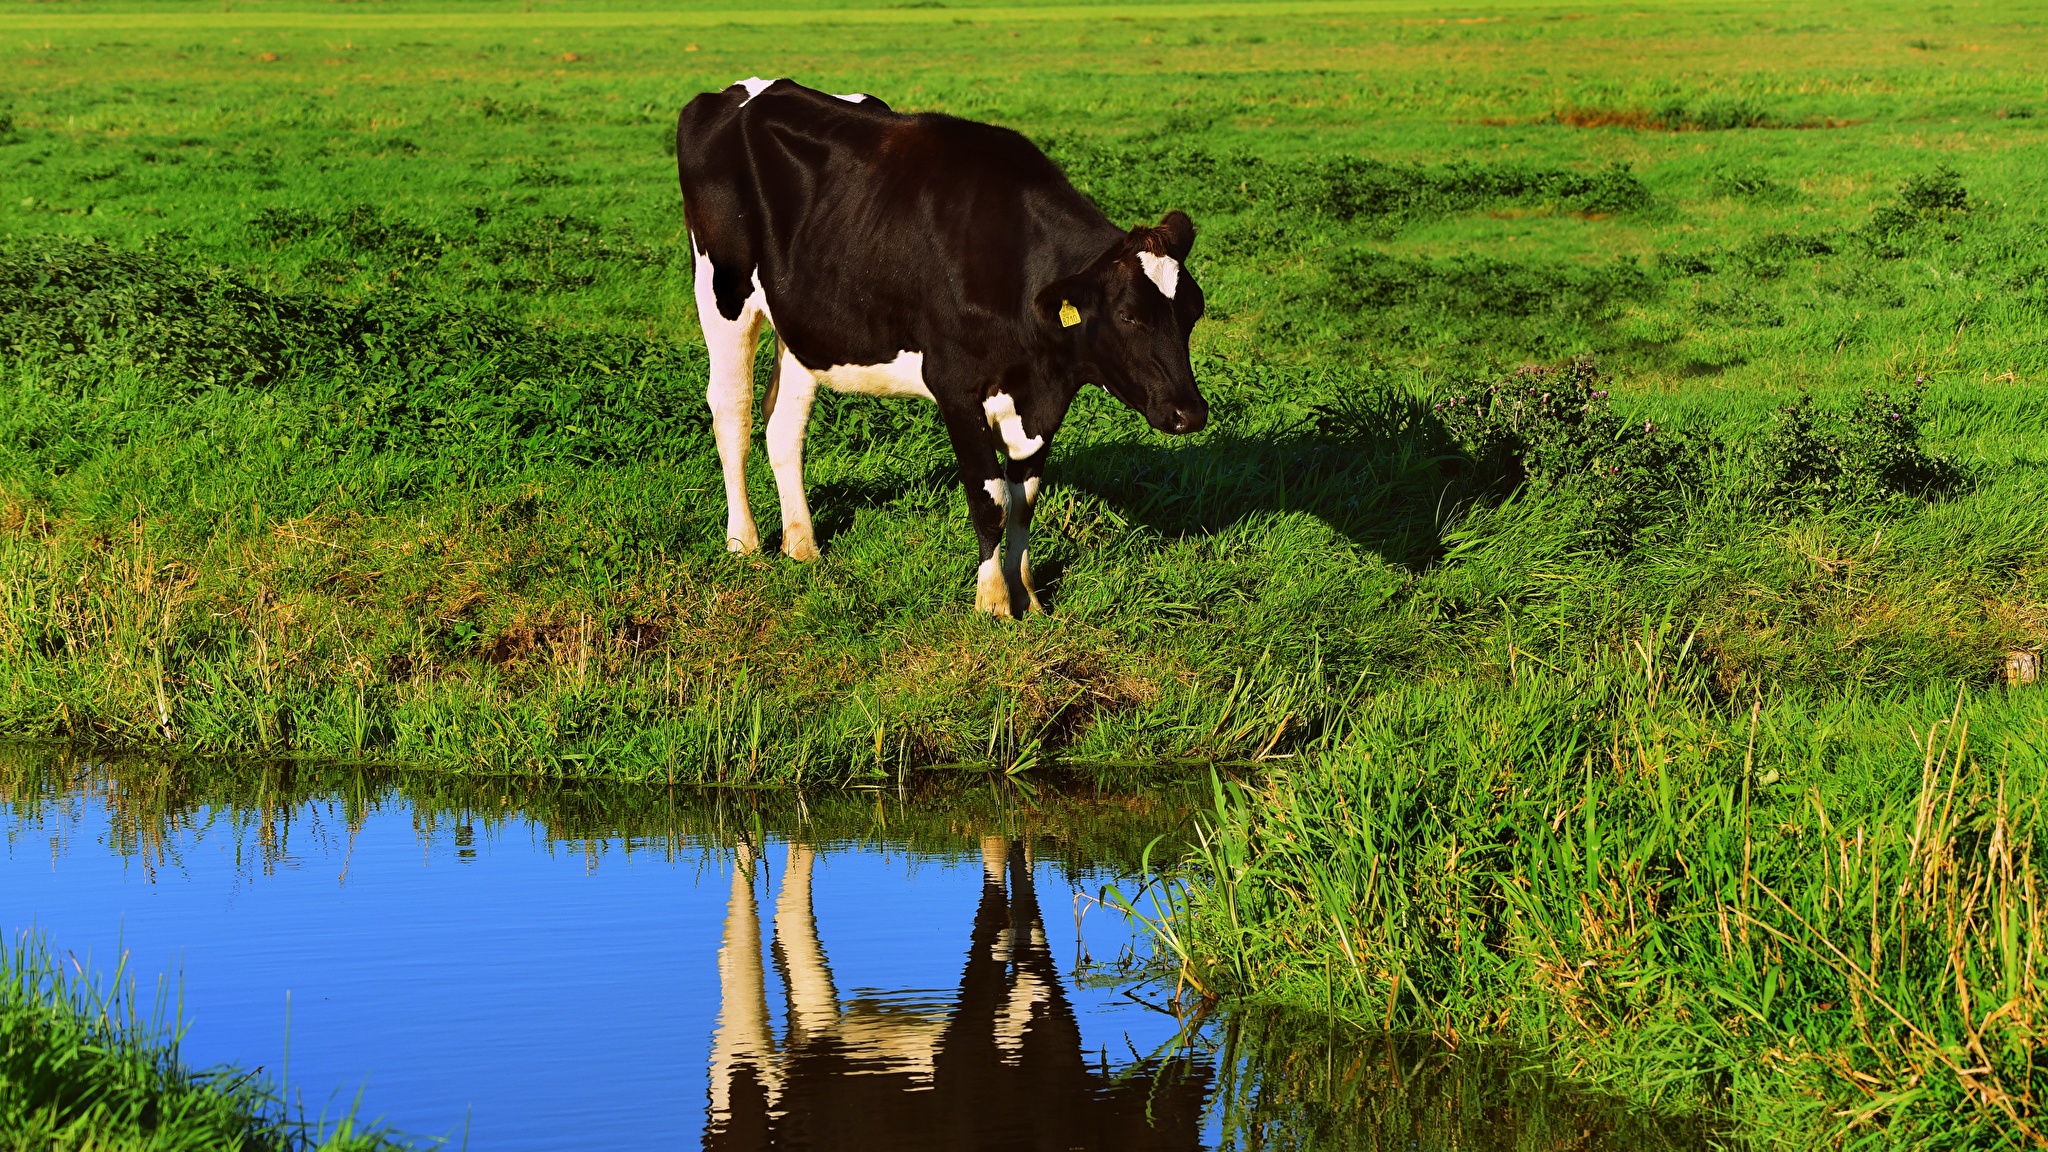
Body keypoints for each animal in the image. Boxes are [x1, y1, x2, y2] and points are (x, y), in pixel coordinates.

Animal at [679, 78, 1204, 619]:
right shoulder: (955, 386)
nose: (1190, 412)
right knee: (732, 411)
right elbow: (991, 498)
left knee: (784, 421)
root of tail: (744, 90)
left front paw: (1028, 597)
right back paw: (744, 543)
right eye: (1128, 316)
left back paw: (802, 545)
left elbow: (1024, 499)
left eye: (1194, 312)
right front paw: (993, 603)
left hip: (805, 322)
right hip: (722, 291)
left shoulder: (1041, 398)